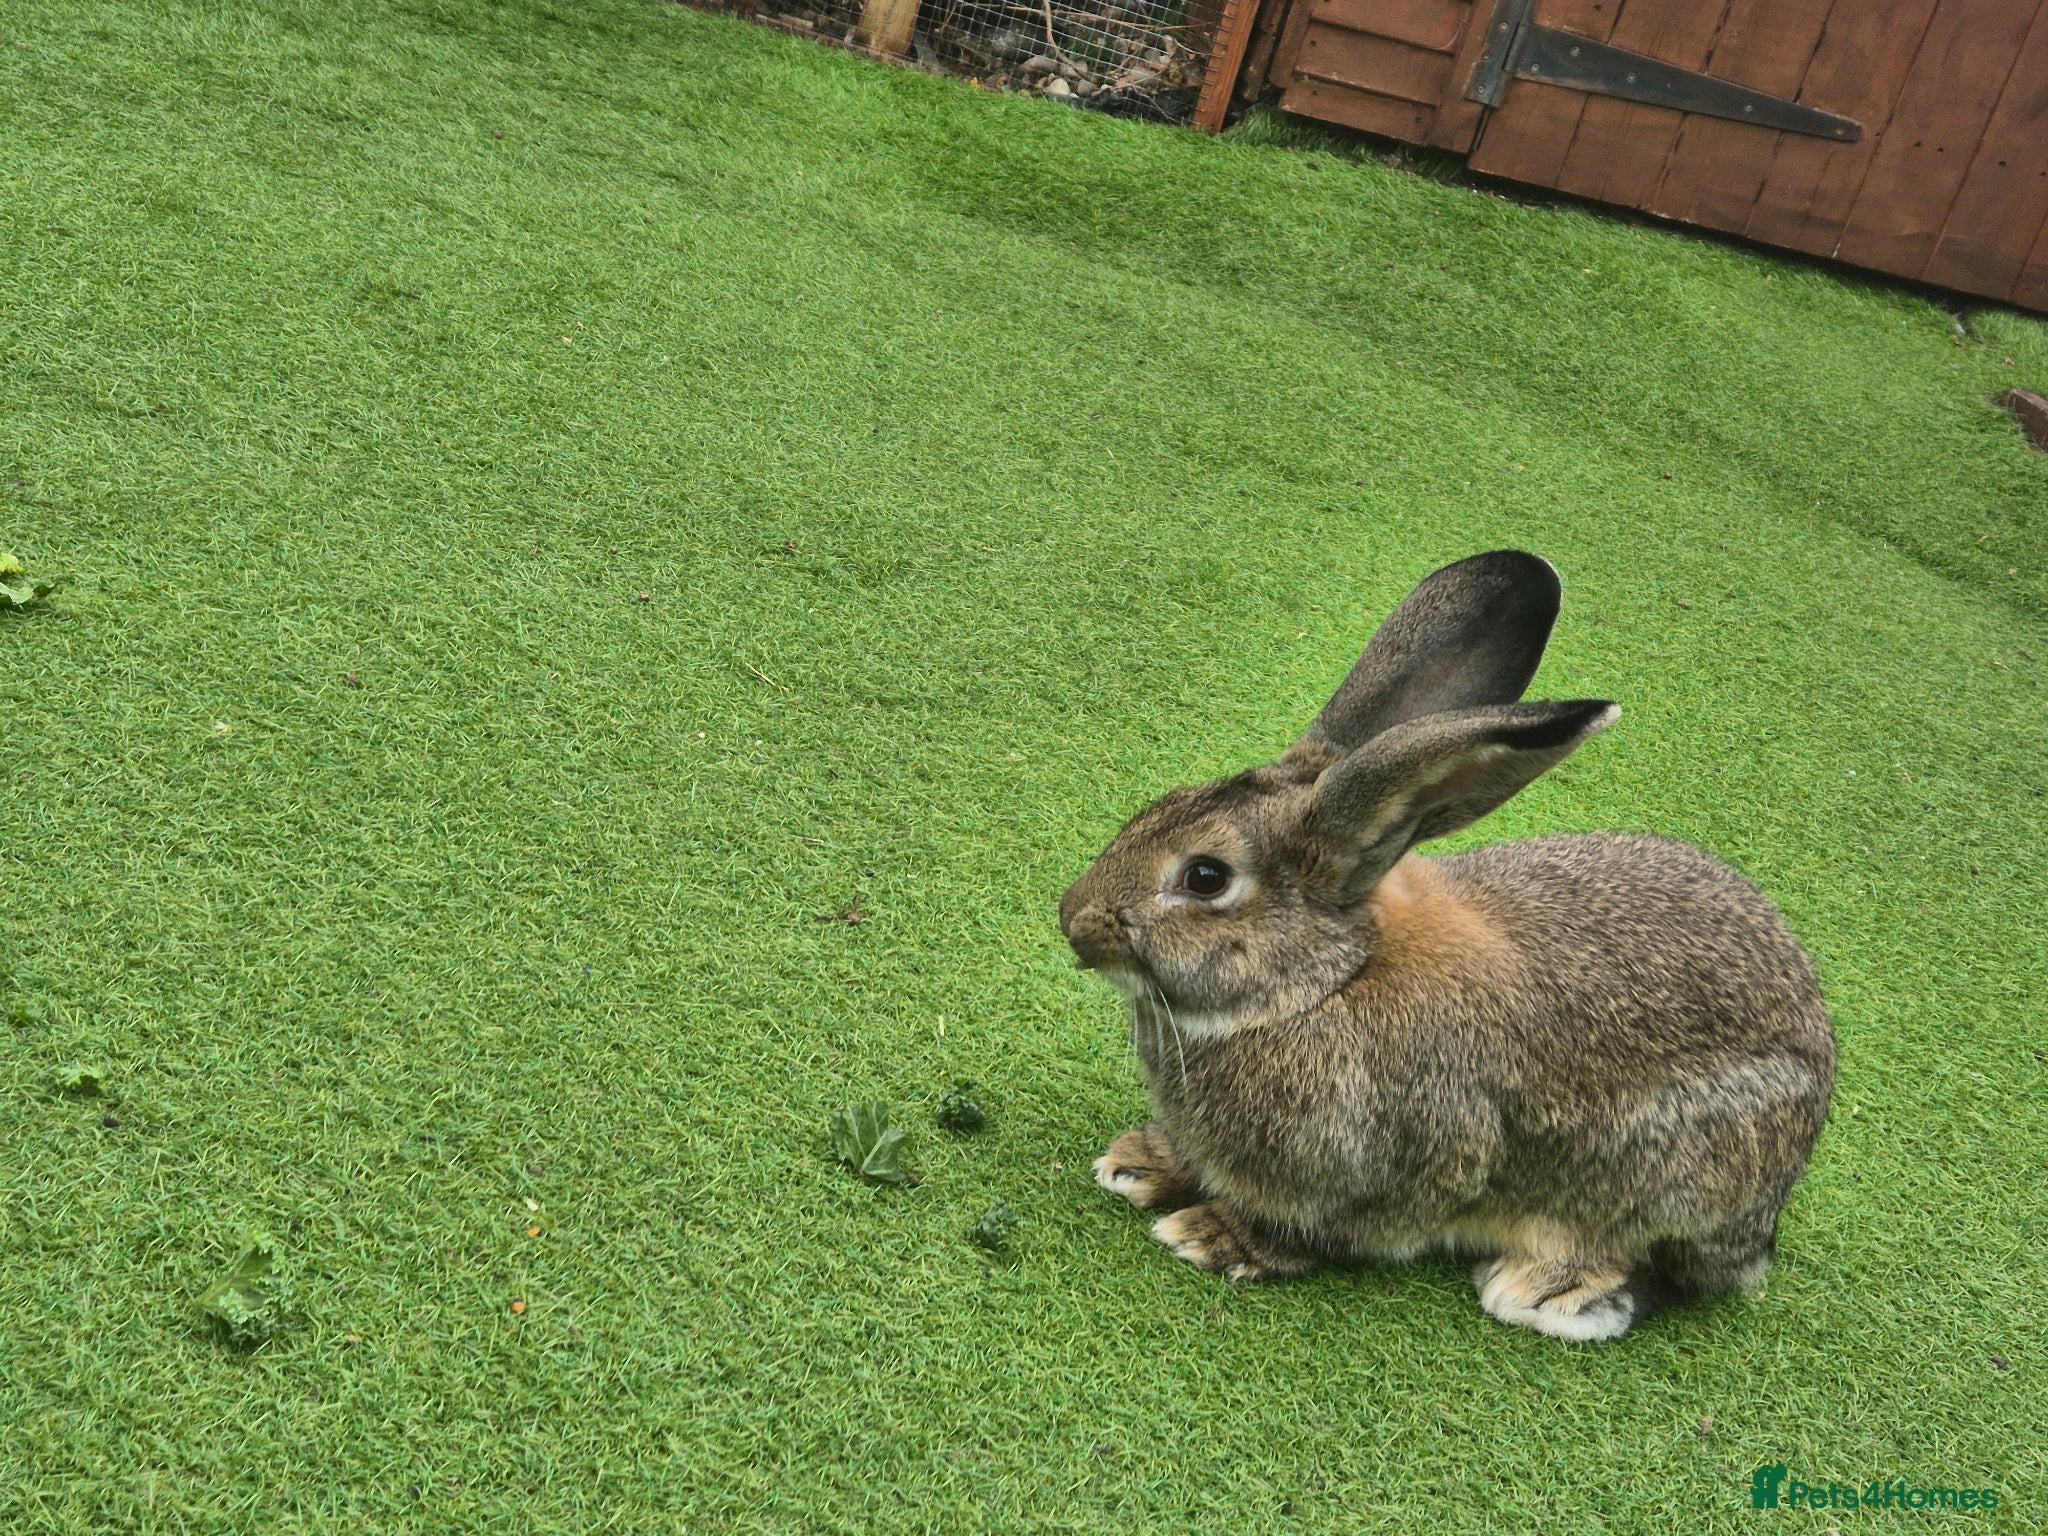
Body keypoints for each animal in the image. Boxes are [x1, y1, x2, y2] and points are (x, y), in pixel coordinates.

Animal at [1059, 551, 1834, 1341]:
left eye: (1206, 877)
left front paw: (1213, 1236)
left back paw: (1552, 1292)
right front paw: (1141, 1163)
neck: (1324, 982)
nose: (1071, 918)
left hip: (1675, 1175)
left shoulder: (1388, 1166)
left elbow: (1310, 1231)